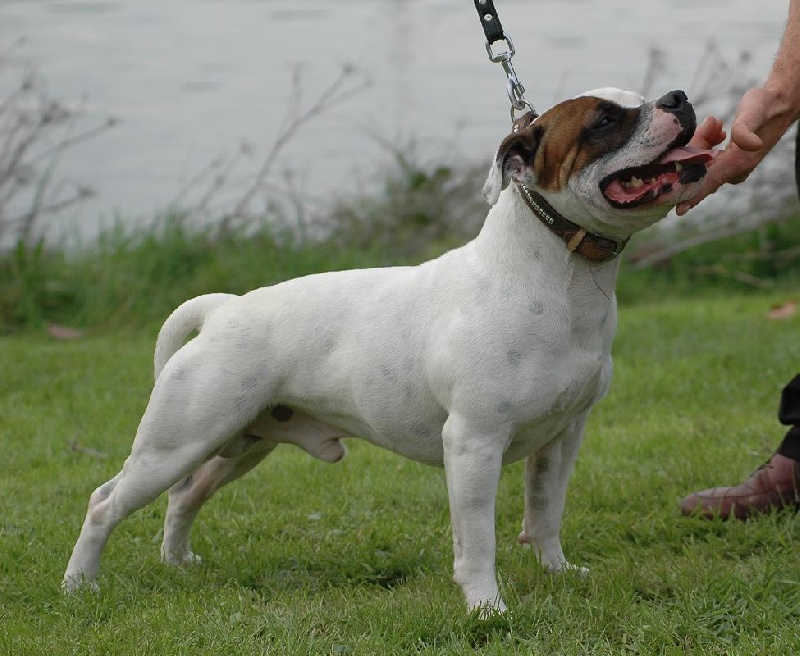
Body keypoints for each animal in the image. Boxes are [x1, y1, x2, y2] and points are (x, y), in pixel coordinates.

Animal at [62, 87, 712, 608]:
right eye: (604, 121)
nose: (678, 98)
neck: (559, 274)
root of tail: (224, 310)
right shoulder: (474, 444)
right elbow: (478, 539)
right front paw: (486, 607)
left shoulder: (561, 437)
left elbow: (545, 515)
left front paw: (558, 574)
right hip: (176, 443)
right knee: (105, 502)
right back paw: (78, 585)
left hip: (237, 443)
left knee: (185, 496)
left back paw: (177, 564)